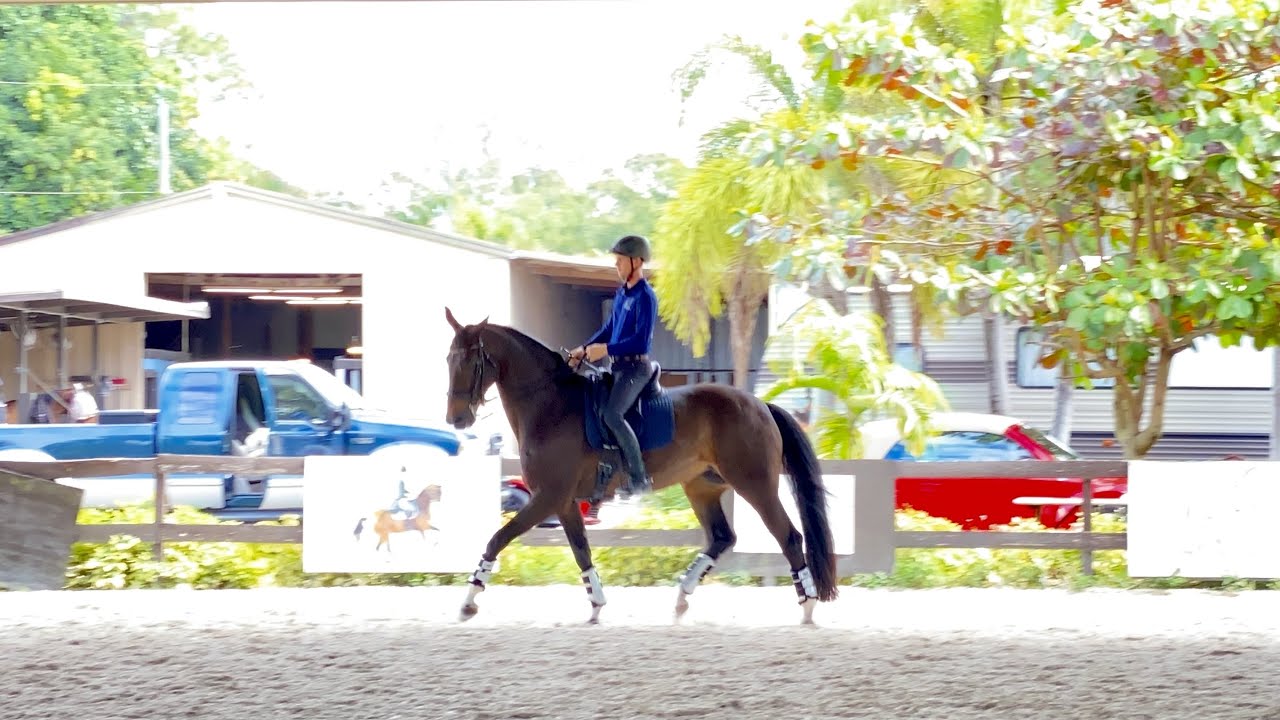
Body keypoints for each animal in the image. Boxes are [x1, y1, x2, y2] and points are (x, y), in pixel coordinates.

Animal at [443, 307, 838, 625]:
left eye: (472, 362)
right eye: (449, 359)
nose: (457, 419)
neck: (549, 404)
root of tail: (759, 404)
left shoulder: (547, 497)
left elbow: (497, 539)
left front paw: (468, 603)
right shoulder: (564, 502)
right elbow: (581, 551)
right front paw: (597, 604)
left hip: (755, 485)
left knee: (789, 536)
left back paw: (807, 605)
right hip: (702, 487)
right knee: (723, 537)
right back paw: (681, 599)